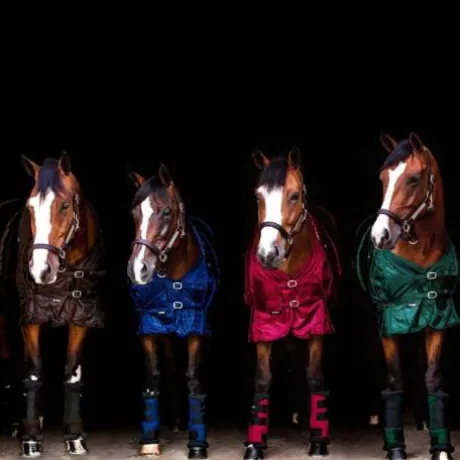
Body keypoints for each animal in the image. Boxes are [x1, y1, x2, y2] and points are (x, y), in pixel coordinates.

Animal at [11, 152, 106, 457]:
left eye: (64, 205)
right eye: (30, 207)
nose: (41, 270)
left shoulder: (81, 317)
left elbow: (72, 374)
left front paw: (74, 437)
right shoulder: (30, 317)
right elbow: (33, 373)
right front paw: (31, 440)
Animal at [127, 163, 219, 458]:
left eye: (166, 212)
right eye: (134, 214)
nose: (138, 269)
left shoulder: (196, 325)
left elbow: (193, 379)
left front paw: (197, 444)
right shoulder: (149, 327)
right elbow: (153, 377)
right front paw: (149, 440)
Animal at [242, 148, 342, 460]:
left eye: (294, 196)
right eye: (258, 197)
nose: (267, 253)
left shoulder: (316, 320)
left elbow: (315, 376)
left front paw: (318, 439)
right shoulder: (264, 321)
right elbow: (263, 379)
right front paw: (255, 444)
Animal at [355, 132, 459, 460]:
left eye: (413, 178)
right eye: (382, 178)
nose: (380, 236)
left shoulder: (438, 317)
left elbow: (432, 376)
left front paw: (441, 447)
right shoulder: (390, 322)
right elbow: (394, 377)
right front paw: (395, 447)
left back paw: (422, 420)